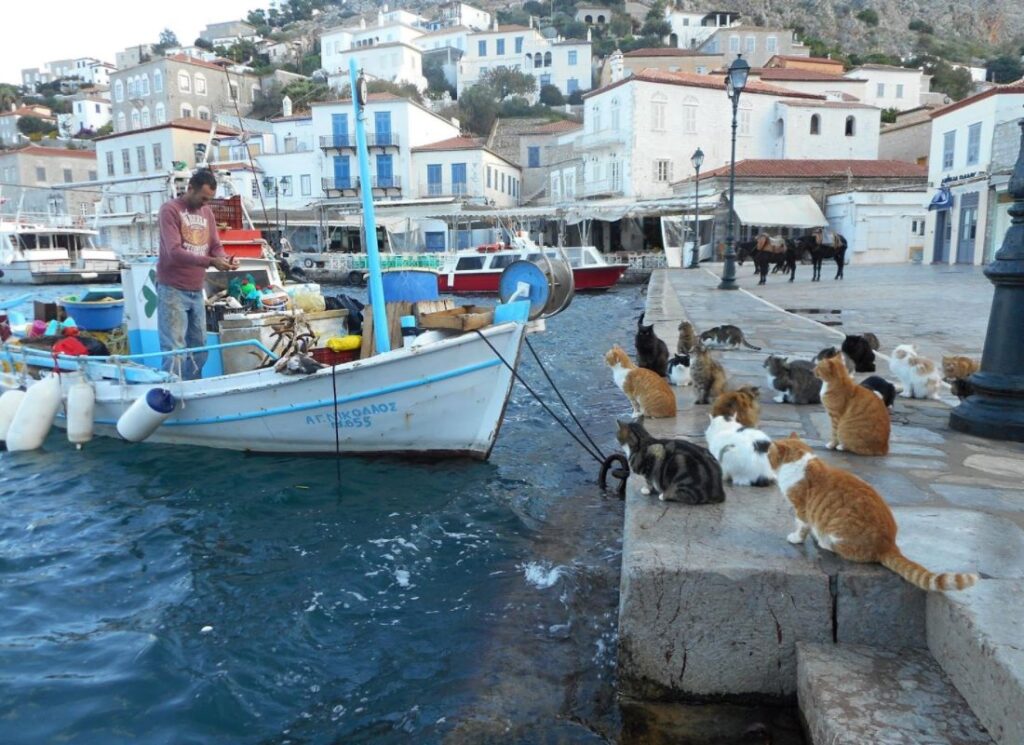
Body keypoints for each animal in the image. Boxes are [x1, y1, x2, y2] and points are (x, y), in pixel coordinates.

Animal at [770, 433, 974, 589]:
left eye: (769, 455)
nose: (766, 457)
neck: (801, 462)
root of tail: (889, 545)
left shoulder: (801, 508)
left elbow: (801, 526)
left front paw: (796, 538)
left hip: (838, 531)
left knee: (843, 550)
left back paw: (823, 541)